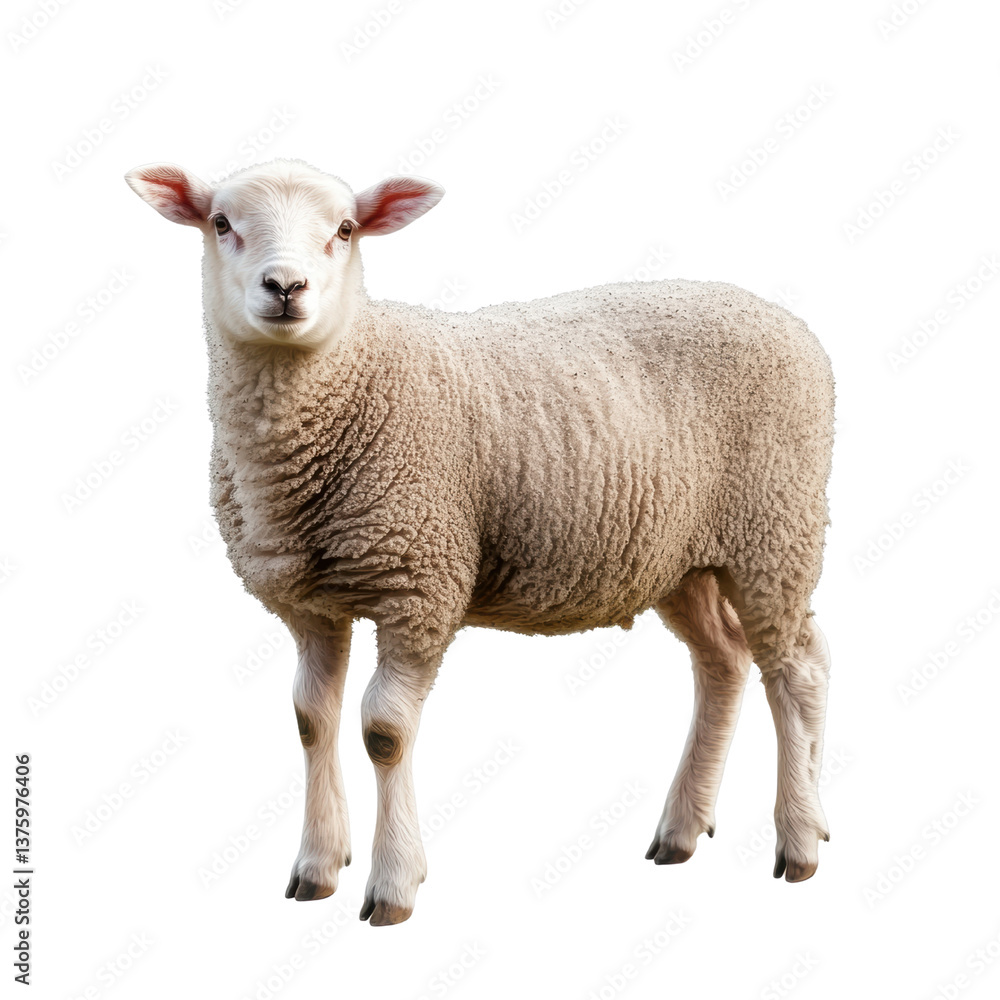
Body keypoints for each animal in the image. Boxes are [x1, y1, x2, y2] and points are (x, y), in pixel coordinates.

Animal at [125, 157, 835, 925]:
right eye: (221, 223)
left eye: (344, 229)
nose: (285, 287)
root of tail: (784, 318)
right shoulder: (310, 603)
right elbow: (311, 720)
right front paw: (316, 868)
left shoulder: (420, 584)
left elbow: (384, 731)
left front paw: (393, 884)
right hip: (681, 557)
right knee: (724, 661)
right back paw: (680, 830)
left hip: (775, 530)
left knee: (798, 672)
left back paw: (800, 840)